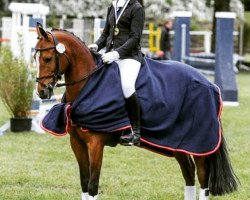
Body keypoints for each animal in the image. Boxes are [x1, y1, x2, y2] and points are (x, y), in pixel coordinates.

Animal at [33, 23, 238, 200]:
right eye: (35, 58)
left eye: (48, 58)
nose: (42, 92)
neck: (89, 83)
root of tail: (209, 84)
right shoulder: (77, 143)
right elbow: (84, 182)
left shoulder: (96, 144)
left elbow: (92, 185)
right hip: (179, 143)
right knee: (188, 173)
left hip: (199, 143)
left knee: (203, 179)